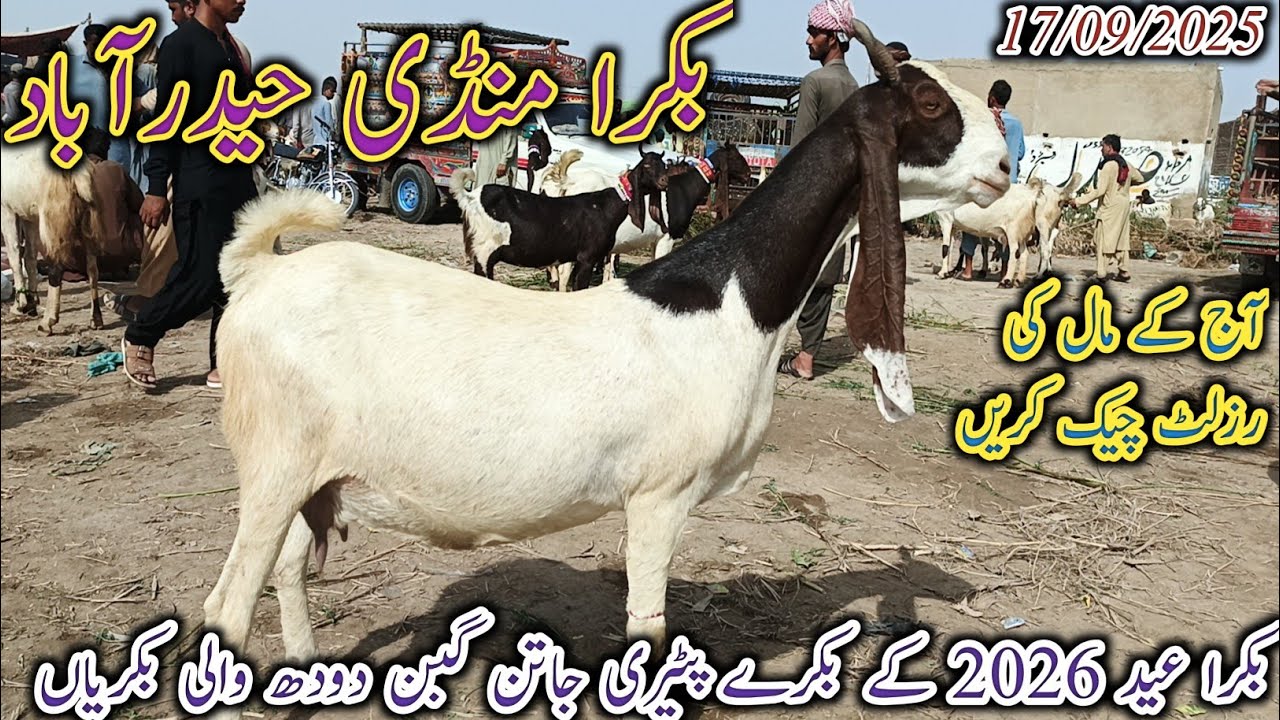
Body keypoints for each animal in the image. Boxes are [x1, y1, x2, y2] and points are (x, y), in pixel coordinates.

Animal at [449, 152, 669, 290]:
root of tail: (470, 197)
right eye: (647, 165)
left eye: (664, 166)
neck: (604, 205)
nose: (664, 181)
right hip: (484, 252)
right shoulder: (587, 257)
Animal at [545, 145, 753, 291]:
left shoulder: (655, 239)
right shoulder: (667, 238)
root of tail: (569, 183)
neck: (681, 190)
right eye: (736, 156)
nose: (748, 174)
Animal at [935, 172, 1081, 287]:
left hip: (1021, 228)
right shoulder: (953, 225)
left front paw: (941, 274)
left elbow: (945, 248)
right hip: (1024, 231)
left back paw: (1008, 281)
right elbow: (950, 248)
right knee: (1024, 253)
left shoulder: (945, 219)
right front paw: (948, 271)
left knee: (1024, 251)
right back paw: (1019, 280)